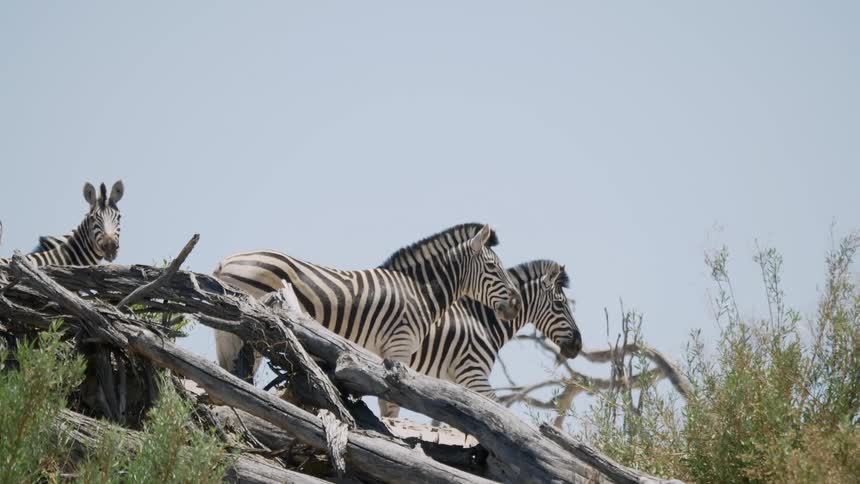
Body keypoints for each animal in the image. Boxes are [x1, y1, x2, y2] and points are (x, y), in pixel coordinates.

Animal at [213, 223, 522, 382]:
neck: (419, 291)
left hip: (228, 332)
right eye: (493, 267)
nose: (517, 304)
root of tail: (225, 261)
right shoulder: (399, 348)